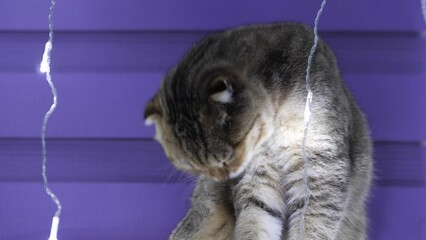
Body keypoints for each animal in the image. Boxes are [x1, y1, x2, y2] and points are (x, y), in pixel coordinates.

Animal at [144, 23, 372, 240]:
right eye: (196, 167)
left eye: (225, 160)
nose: (223, 179)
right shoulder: (257, 177)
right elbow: (256, 220)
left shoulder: (319, 165)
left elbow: (312, 225)